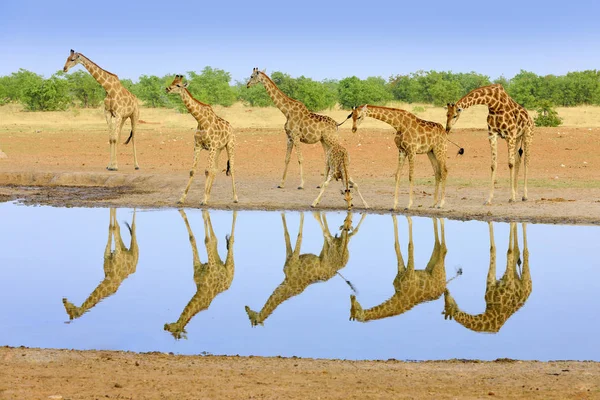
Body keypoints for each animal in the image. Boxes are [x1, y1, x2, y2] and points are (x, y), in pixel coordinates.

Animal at [166, 76, 239, 206]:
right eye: (172, 82)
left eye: (178, 85)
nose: (167, 89)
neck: (200, 120)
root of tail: (231, 128)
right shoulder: (198, 145)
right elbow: (193, 171)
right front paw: (182, 198)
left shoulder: (211, 146)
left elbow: (206, 171)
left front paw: (203, 199)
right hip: (219, 149)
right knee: (215, 169)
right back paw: (209, 196)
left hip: (230, 145)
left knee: (232, 168)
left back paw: (235, 198)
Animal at [166, 211, 239, 340]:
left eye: (175, 331)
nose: (165, 326)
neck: (201, 289)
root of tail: (230, 282)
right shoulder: (198, 267)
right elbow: (193, 239)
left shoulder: (211, 266)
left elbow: (206, 241)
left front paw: (203, 213)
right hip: (217, 258)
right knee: (215, 239)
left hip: (230, 265)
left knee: (230, 241)